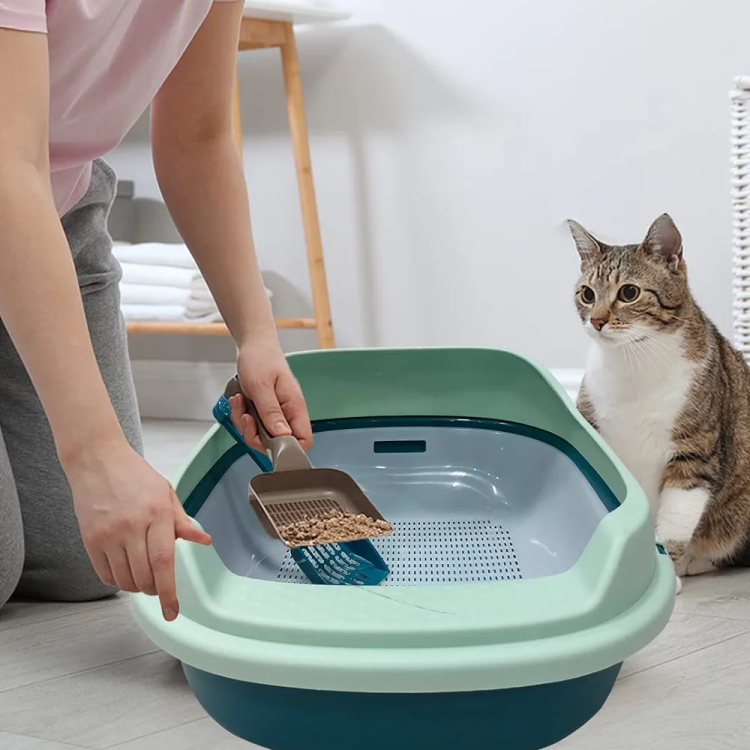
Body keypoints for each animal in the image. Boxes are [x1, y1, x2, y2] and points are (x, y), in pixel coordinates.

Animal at [568, 216, 750, 592]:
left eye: (629, 293)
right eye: (587, 294)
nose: (597, 320)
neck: (633, 363)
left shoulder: (694, 453)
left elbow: (677, 519)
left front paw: (666, 572)